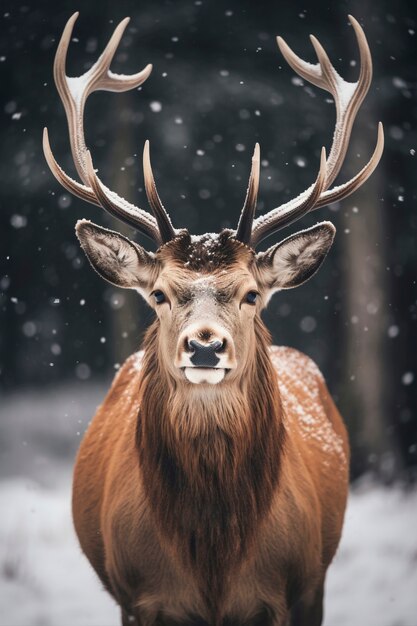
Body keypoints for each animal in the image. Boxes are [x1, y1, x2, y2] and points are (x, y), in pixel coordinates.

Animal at [43, 13, 384, 624]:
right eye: (158, 293)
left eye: (251, 294)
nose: (205, 347)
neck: (213, 564)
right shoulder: (137, 595)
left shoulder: (284, 591)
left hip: (317, 581)